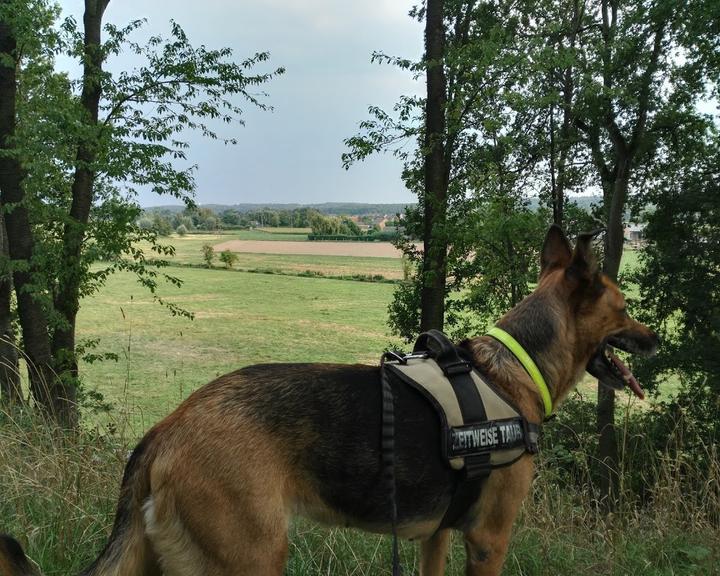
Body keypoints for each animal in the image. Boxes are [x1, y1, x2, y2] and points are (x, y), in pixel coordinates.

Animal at [1, 226, 660, 576]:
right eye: (625, 306)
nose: (656, 340)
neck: (511, 372)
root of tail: (169, 426)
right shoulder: (488, 540)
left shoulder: (437, 537)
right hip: (255, 556)